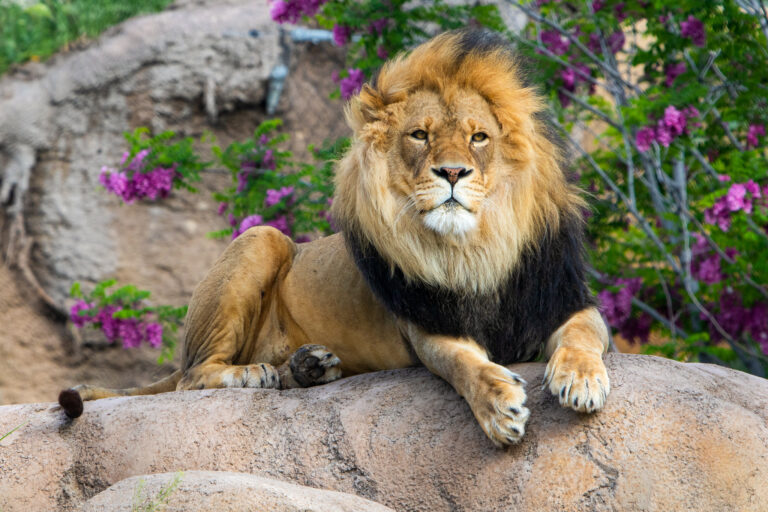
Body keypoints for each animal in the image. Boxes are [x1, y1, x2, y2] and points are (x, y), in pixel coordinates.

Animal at [59, 29, 610, 447]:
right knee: (193, 376)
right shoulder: (428, 324)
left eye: (479, 137)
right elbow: (463, 364)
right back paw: (254, 373)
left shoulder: (565, 298)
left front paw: (581, 380)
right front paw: (499, 407)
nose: (452, 172)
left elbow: (582, 337)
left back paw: (307, 367)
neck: (473, 248)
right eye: (419, 135)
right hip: (261, 238)